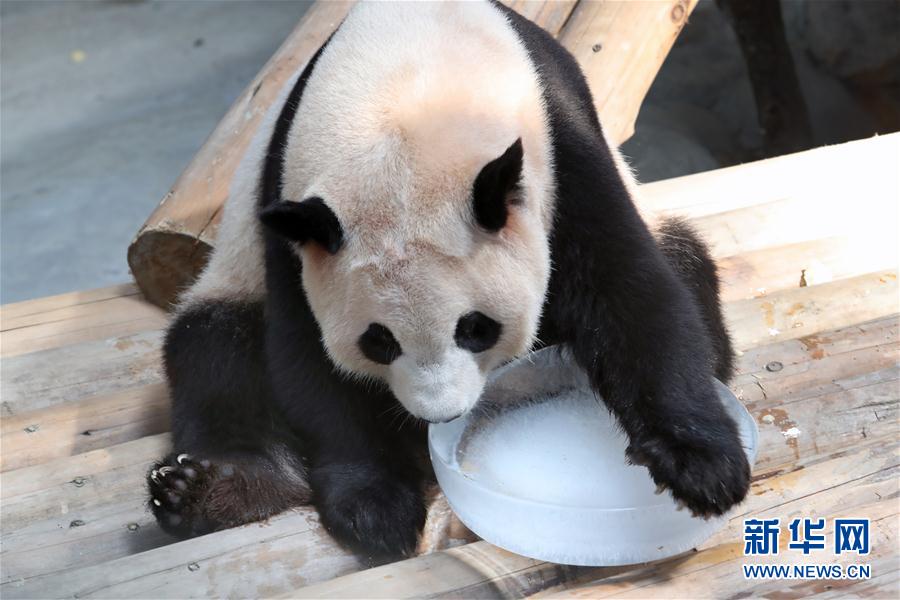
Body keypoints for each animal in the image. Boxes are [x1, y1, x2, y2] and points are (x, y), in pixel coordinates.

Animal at [149, 0, 752, 560]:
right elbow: (307, 362)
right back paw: (209, 487)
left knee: (688, 271)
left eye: (475, 328)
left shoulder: (562, 149)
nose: (441, 414)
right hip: (234, 274)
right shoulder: (287, 208)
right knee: (215, 354)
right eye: (378, 341)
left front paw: (701, 468)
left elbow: (628, 291)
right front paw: (375, 505)